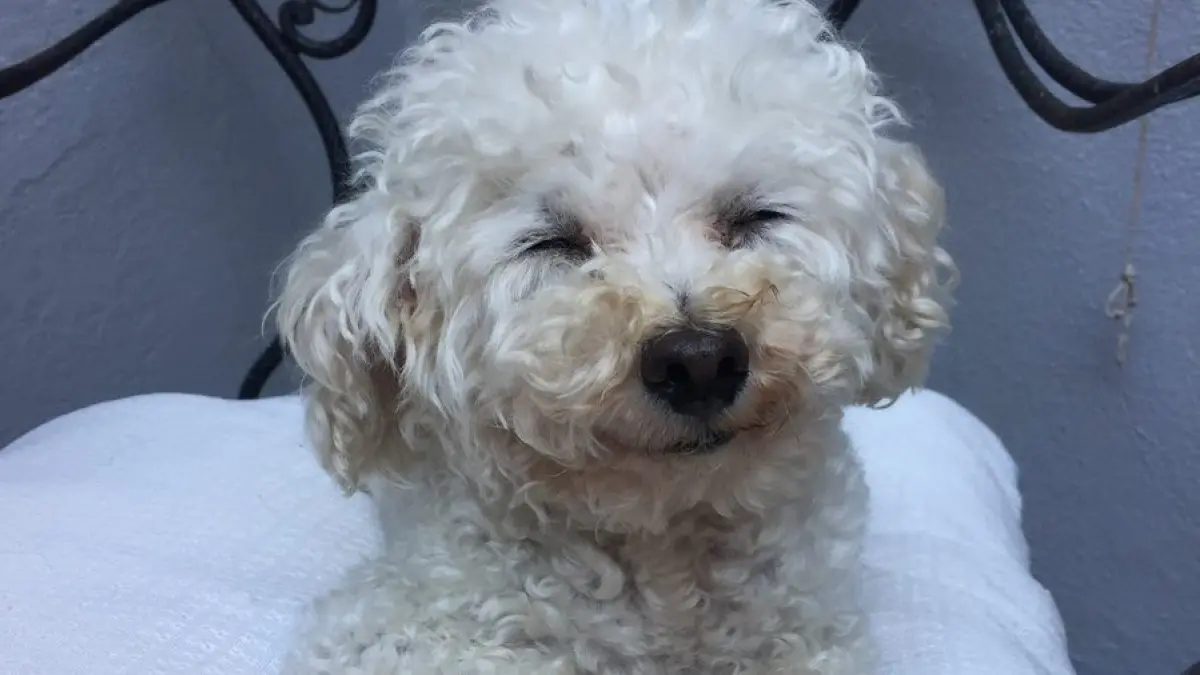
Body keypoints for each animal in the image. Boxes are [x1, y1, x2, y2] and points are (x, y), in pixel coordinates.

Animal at [275, 0, 954, 672]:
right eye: (550, 243)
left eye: (757, 216)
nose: (699, 361)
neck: (667, 545)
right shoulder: (401, 623)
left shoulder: (815, 628)